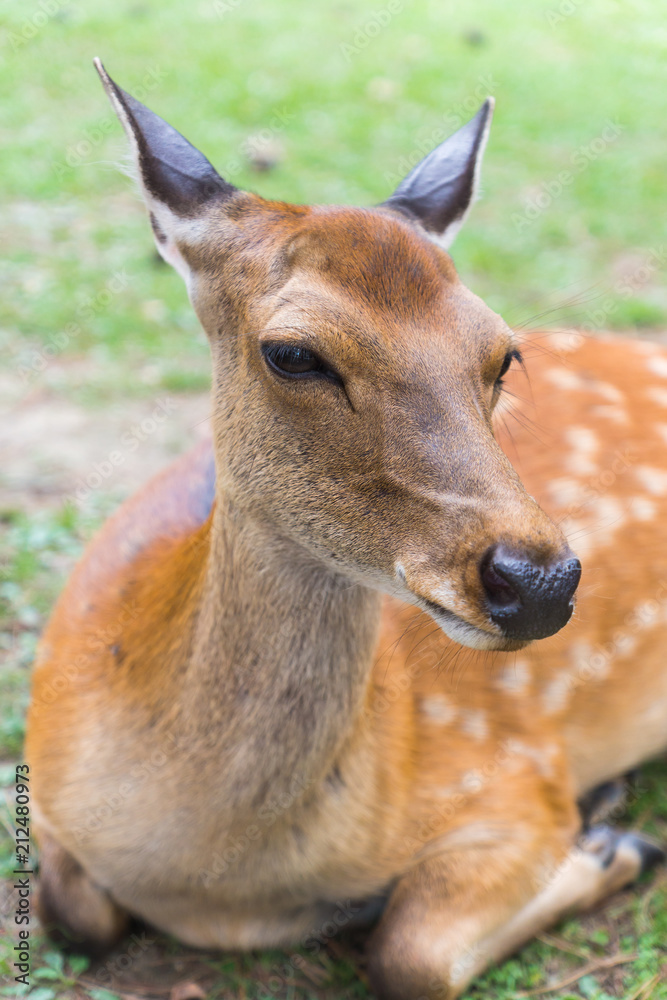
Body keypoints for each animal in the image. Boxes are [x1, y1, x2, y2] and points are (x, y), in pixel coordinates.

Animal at [25, 61, 667, 1000]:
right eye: (293, 353)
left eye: (502, 354)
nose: (538, 581)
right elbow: (73, 911)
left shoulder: (517, 770)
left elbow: (411, 954)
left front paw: (611, 844)